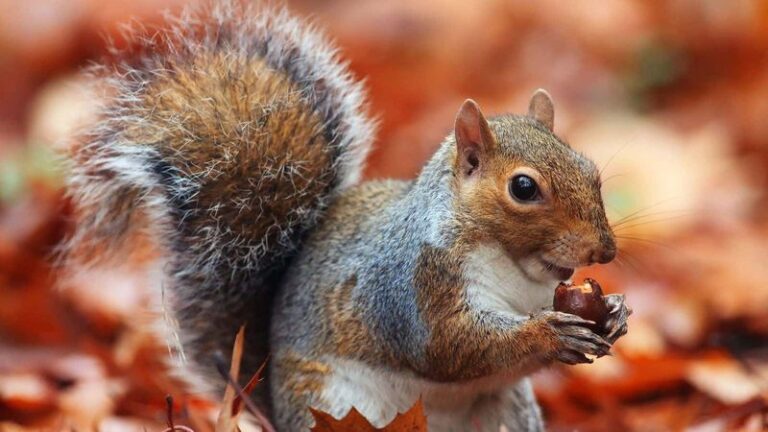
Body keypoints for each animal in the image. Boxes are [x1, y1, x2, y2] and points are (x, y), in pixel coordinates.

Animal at [63, 1, 631, 431]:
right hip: (333, 404)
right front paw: (548, 335)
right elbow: (450, 346)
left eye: (590, 171)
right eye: (523, 188)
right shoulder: (409, 288)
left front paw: (614, 313)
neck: (516, 270)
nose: (604, 251)